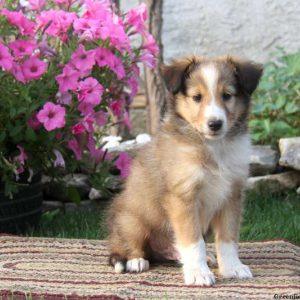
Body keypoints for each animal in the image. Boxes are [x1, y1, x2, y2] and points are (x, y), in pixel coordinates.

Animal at [107, 54, 262, 286]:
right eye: (196, 97)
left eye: (227, 95)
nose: (215, 124)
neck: (213, 147)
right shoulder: (183, 196)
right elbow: (193, 241)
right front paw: (198, 273)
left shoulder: (232, 195)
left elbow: (227, 238)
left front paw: (232, 268)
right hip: (131, 218)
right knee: (126, 243)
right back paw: (135, 260)